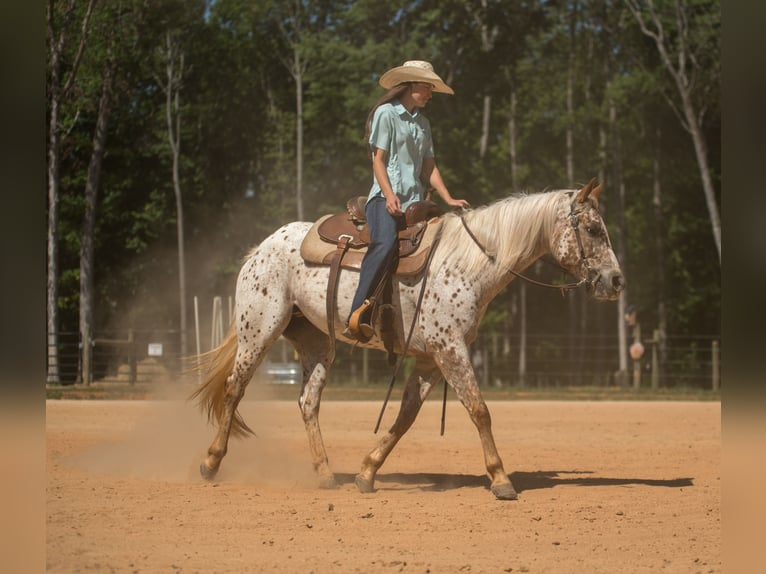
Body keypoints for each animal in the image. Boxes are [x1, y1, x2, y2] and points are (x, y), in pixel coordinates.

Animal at [190, 179, 624, 500]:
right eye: (592, 229)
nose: (616, 280)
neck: (468, 262)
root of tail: (261, 248)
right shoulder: (451, 349)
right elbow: (479, 410)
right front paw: (501, 479)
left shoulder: (432, 358)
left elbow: (406, 417)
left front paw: (367, 472)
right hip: (259, 329)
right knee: (234, 389)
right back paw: (210, 462)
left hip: (316, 342)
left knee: (308, 402)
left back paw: (326, 473)